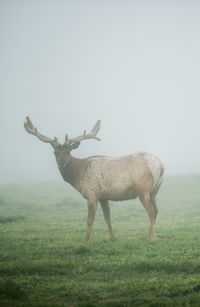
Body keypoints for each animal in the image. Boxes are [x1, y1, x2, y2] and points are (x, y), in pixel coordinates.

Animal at [23, 118, 164, 243]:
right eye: (55, 152)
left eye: (68, 151)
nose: (61, 163)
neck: (78, 174)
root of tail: (161, 165)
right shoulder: (103, 196)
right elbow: (107, 217)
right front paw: (113, 238)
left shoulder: (92, 194)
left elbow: (89, 220)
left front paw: (86, 241)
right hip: (154, 191)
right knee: (156, 210)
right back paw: (152, 236)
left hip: (143, 189)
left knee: (151, 211)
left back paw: (151, 238)